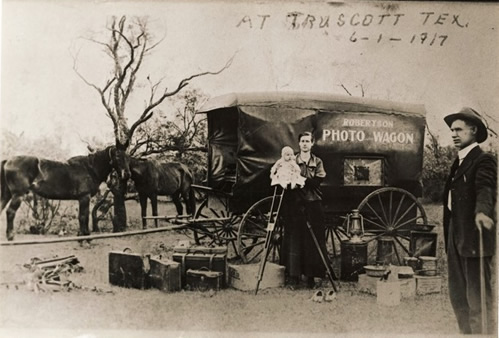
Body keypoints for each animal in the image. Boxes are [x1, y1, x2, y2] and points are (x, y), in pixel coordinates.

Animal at [0, 146, 130, 240]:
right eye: (117, 156)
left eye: (127, 156)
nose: (127, 174)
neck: (89, 168)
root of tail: (8, 160)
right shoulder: (84, 197)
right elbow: (83, 216)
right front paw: (85, 234)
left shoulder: (82, 198)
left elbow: (82, 216)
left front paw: (81, 233)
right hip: (18, 195)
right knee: (10, 212)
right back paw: (10, 236)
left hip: (6, 195)